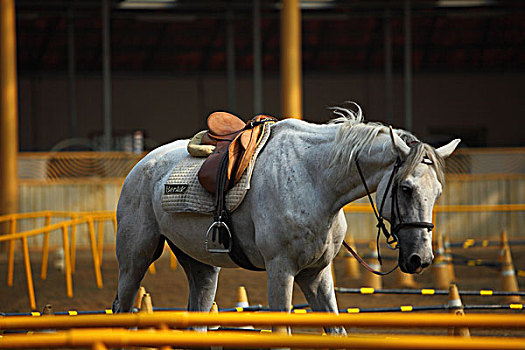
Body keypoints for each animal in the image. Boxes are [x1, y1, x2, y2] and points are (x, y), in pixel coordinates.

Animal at [111, 105, 458, 334]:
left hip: (202, 267)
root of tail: (141, 165)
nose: (421, 259)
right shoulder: (281, 270)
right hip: (134, 260)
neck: (315, 179)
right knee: (121, 310)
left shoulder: (317, 273)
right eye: (406, 188)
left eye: (438, 192)